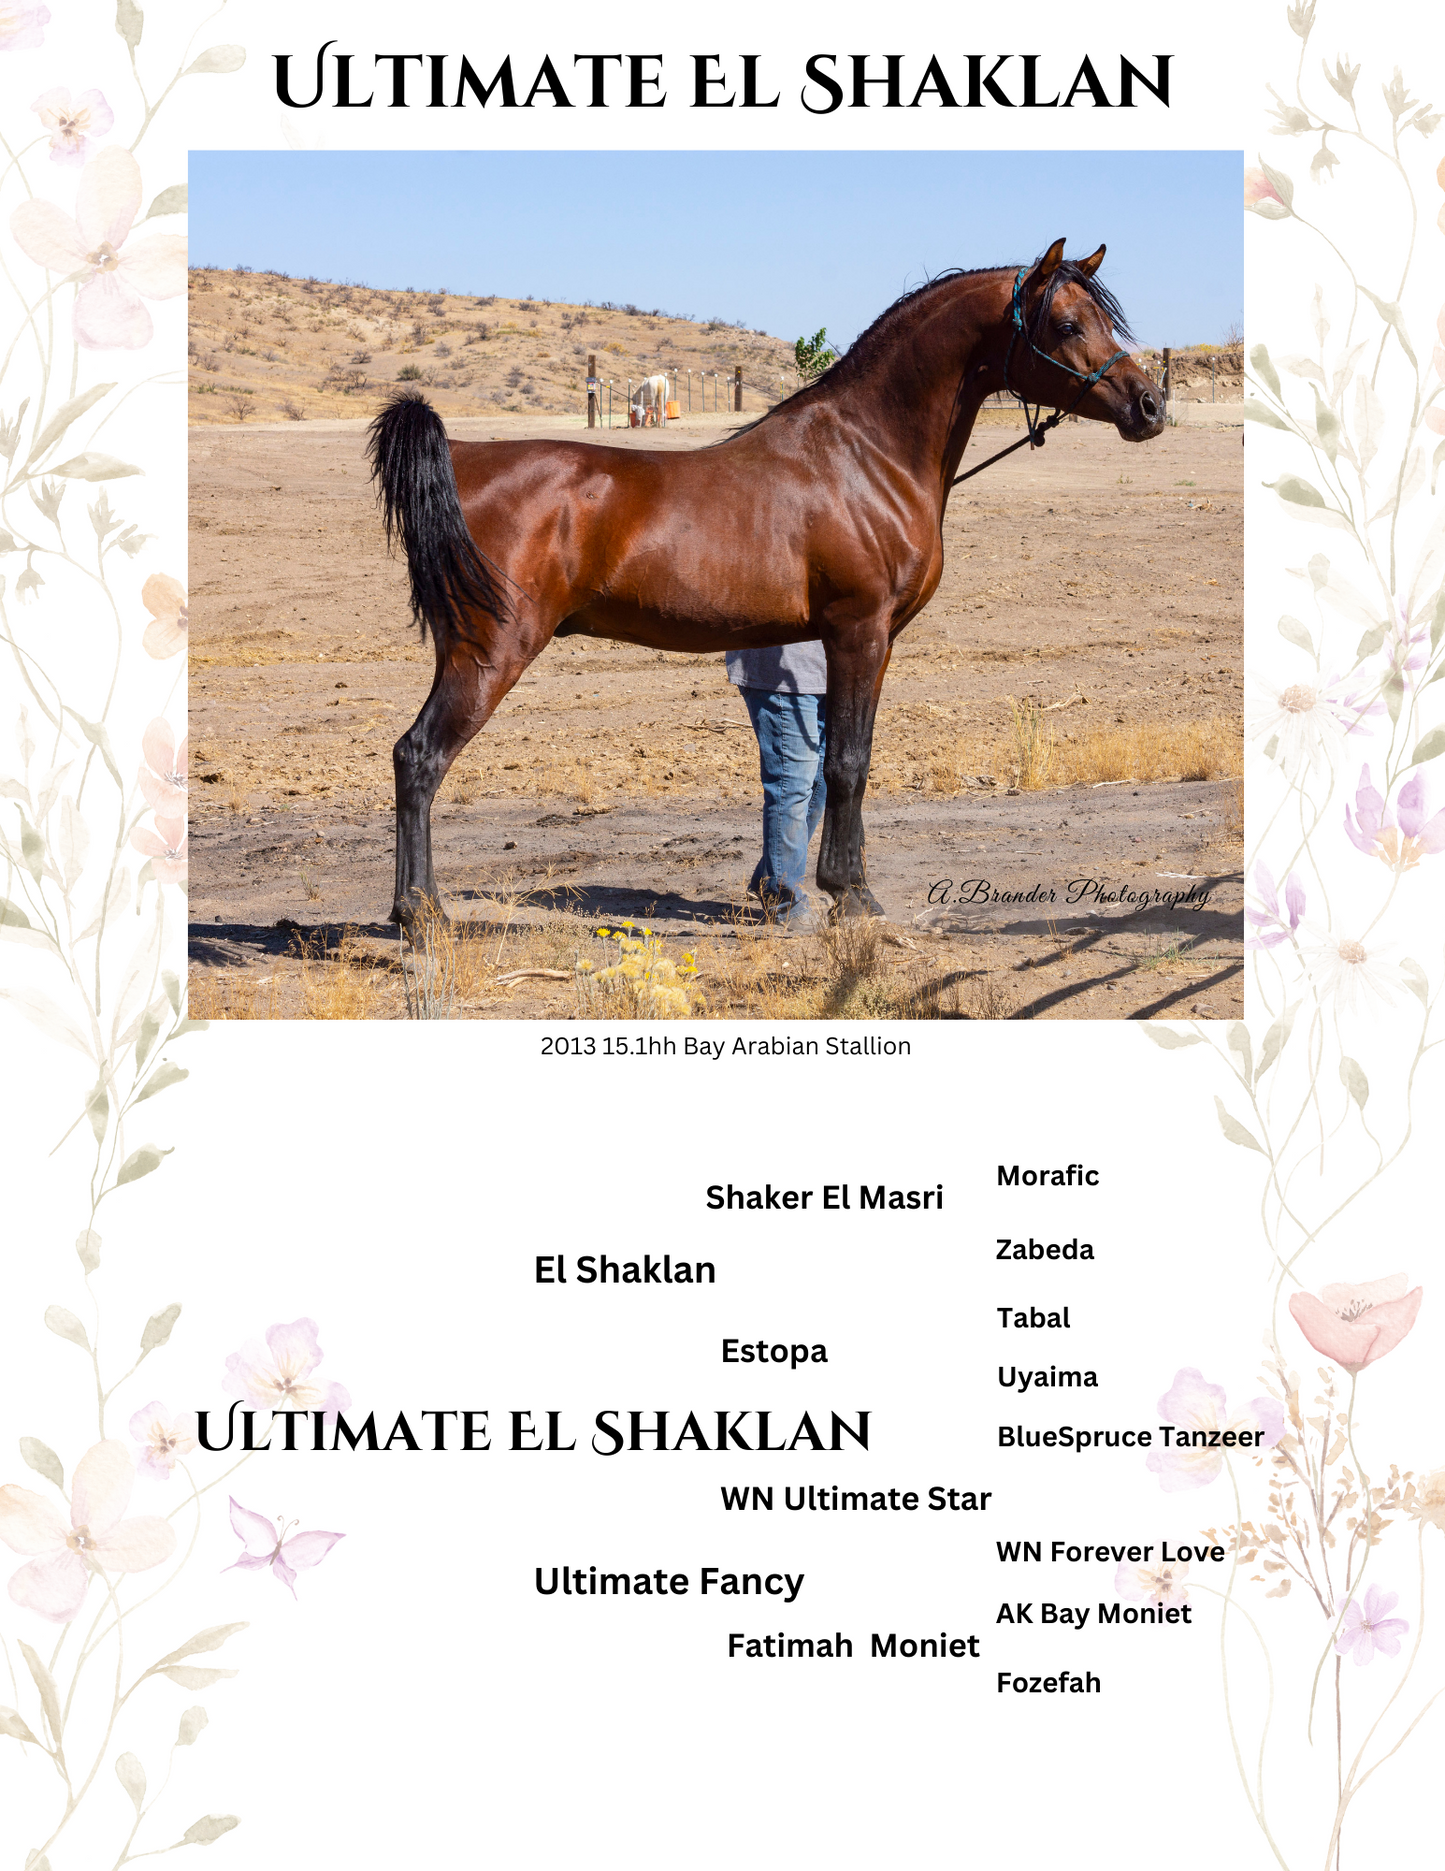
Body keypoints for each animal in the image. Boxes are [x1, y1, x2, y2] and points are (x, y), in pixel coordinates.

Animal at [368, 238, 1164, 931]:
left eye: (1106, 321)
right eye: (1066, 324)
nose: (1149, 407)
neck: (863, 454)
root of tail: (464, 457)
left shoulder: (864, 641)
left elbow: (842, 762)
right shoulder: (860, 630)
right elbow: (847, 764)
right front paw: (851, 894)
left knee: (413, 758)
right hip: (491, 652)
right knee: (420, 757)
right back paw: (419, 913)